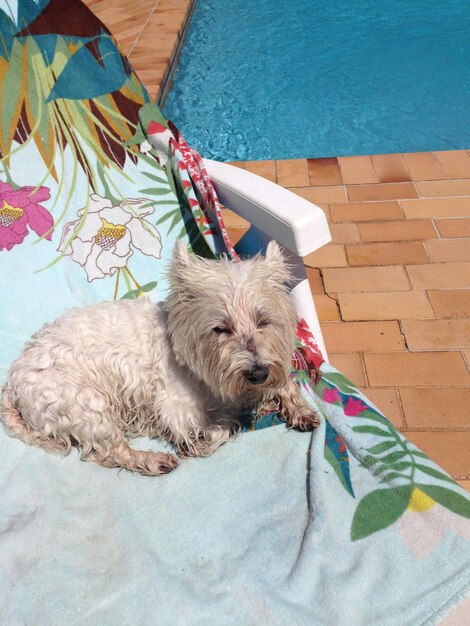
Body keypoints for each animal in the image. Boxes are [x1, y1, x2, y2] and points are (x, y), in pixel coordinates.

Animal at [0, 241, 320, 476]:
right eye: (220, 328)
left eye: (264, 321)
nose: (256, 373)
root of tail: (12, 381)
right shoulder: (177, 408)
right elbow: (222, 428)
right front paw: (200, 442)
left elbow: (282, 383)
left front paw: (300, 410)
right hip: (85, 404)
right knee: (110, 451)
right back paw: (153, 460)